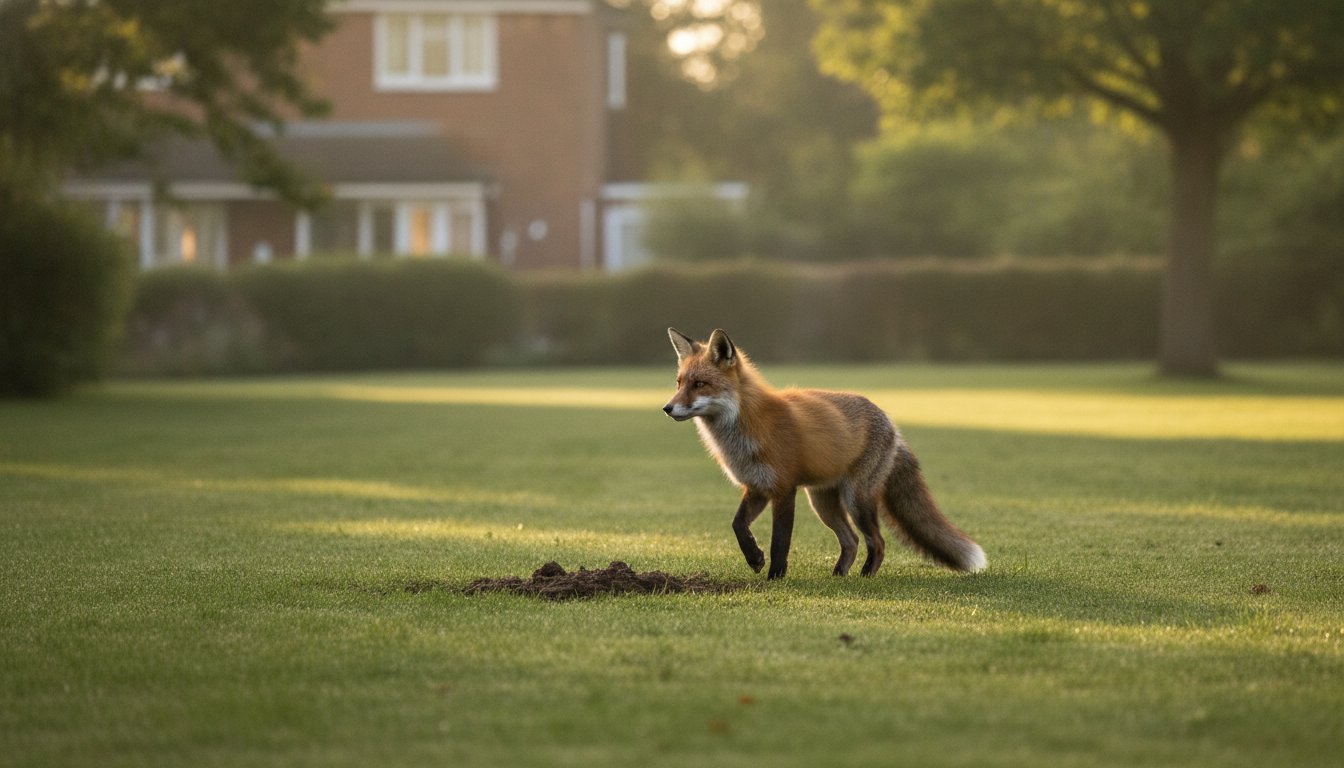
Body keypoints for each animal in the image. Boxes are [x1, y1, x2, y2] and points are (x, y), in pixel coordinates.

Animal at [663, 328, 986, 580]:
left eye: (699, 384)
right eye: (679, 383)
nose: (667, 408)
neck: (746, 426)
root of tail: (891, 423)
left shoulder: (784, 489)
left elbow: (780, 541)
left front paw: (775, 577)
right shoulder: (757, 487)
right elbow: (738, 525)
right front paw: (754, 558)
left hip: (856, 498)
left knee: (877, 541)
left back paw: (865, 577)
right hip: (823, 502)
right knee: (852, 541)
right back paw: (838, 576)